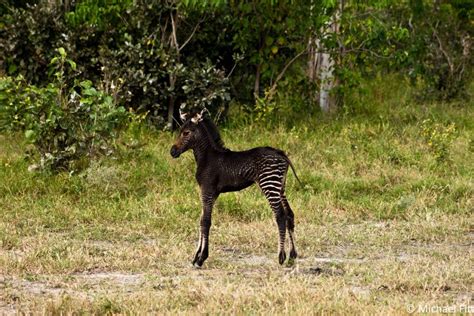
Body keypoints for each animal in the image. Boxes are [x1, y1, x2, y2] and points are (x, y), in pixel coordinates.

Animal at [171, 111, 300, 266]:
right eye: (180, 131)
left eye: (186, 133)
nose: (172, 152)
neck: (207, 158)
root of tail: (280, 152)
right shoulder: (211, 193)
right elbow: (201, 220)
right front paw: (197, 256)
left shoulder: (207, 191)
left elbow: (205, 222)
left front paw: (201, 258)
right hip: (280, 186)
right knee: (289, 214)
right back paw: (292, 256)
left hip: (269, 183)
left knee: (280, 215)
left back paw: (281, 257)